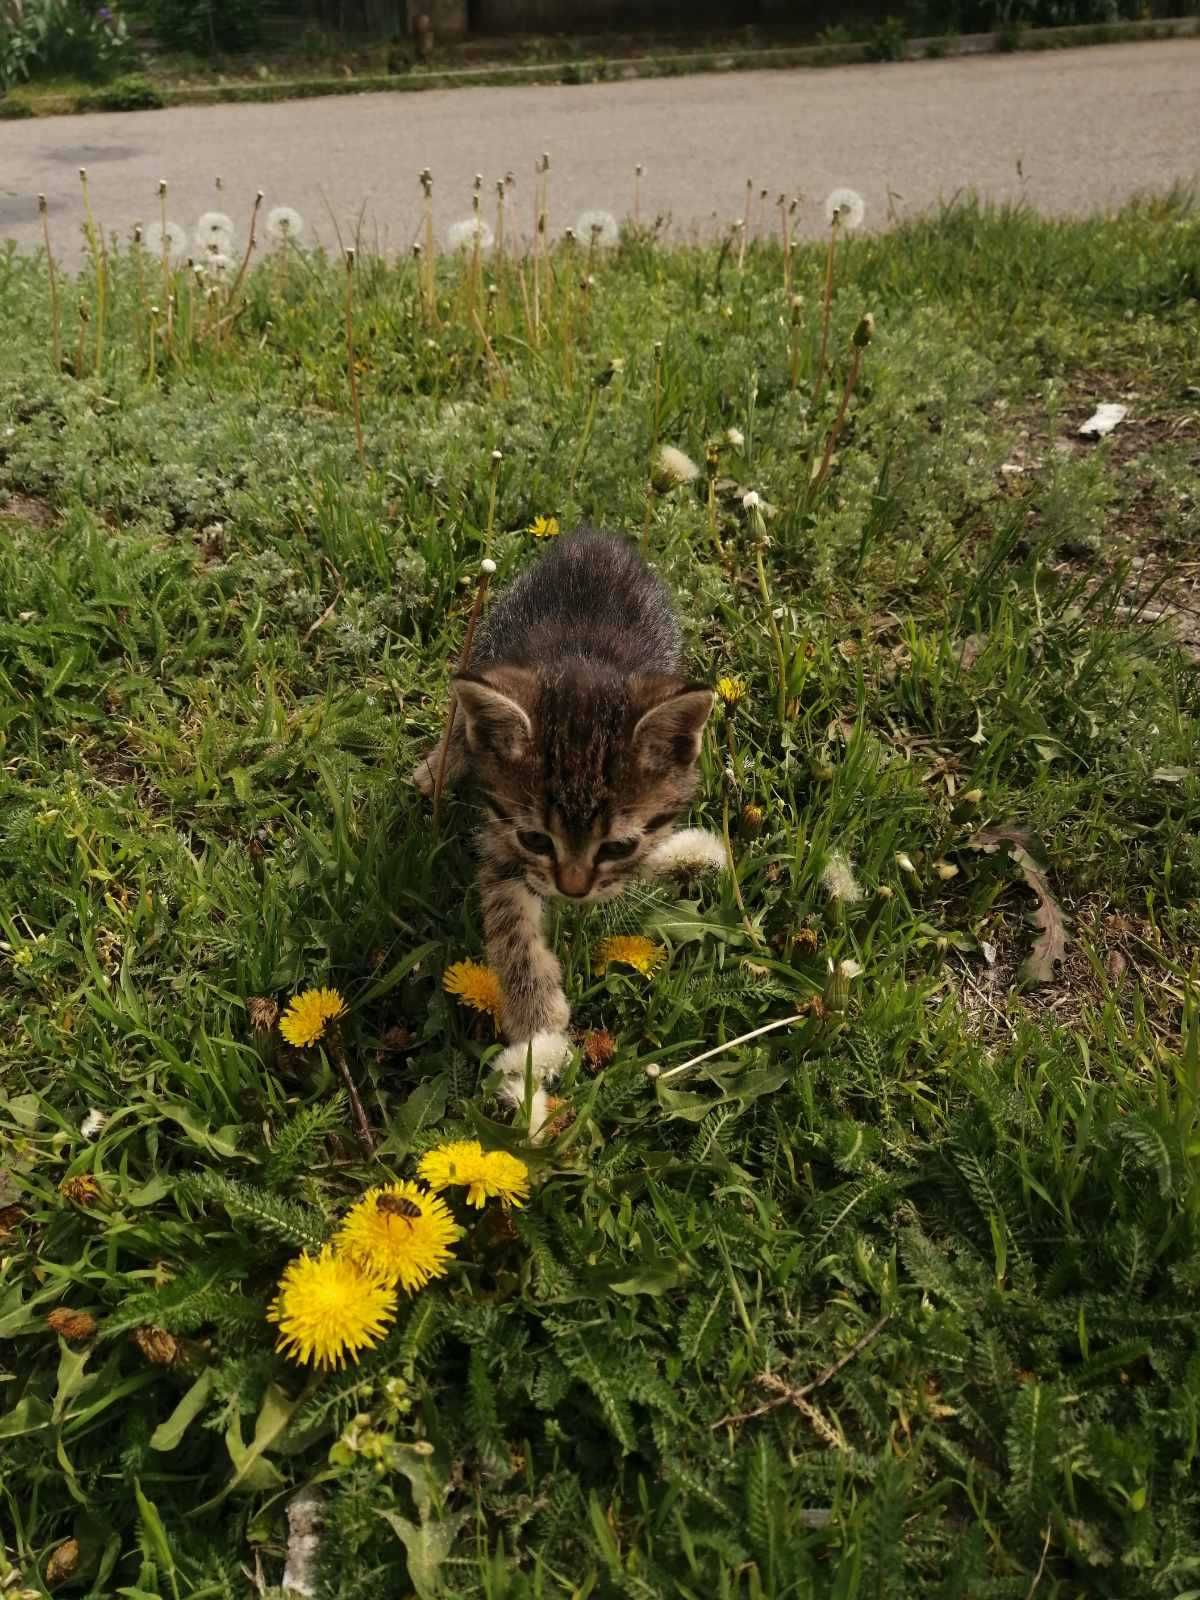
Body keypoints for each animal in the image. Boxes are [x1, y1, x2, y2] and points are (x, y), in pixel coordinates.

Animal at [416, 531, 713, 1107]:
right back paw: (442, 764)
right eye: (537, 839)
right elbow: (510, 923)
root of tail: (594, 537)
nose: (573, 890)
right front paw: (537, 1022)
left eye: (618, 846)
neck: (582, 663)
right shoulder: (503, 841)